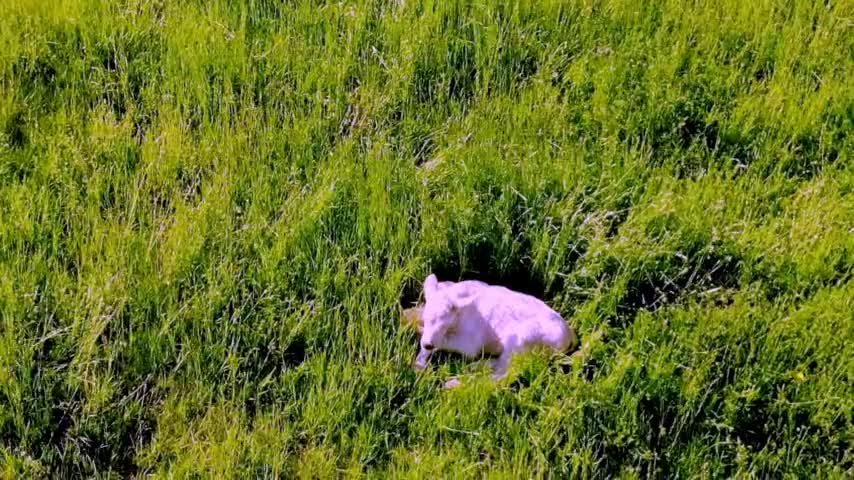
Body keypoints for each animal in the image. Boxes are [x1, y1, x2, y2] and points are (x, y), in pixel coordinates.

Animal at [404, 274, 580, 386]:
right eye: (427, 319)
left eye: (444, 325)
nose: (428, 344)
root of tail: (569, 337)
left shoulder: (470, 343)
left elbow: (444, 343)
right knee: (502, 365)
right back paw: (475, 366)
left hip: (520, 340)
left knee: (506, 374)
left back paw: (455, 384)